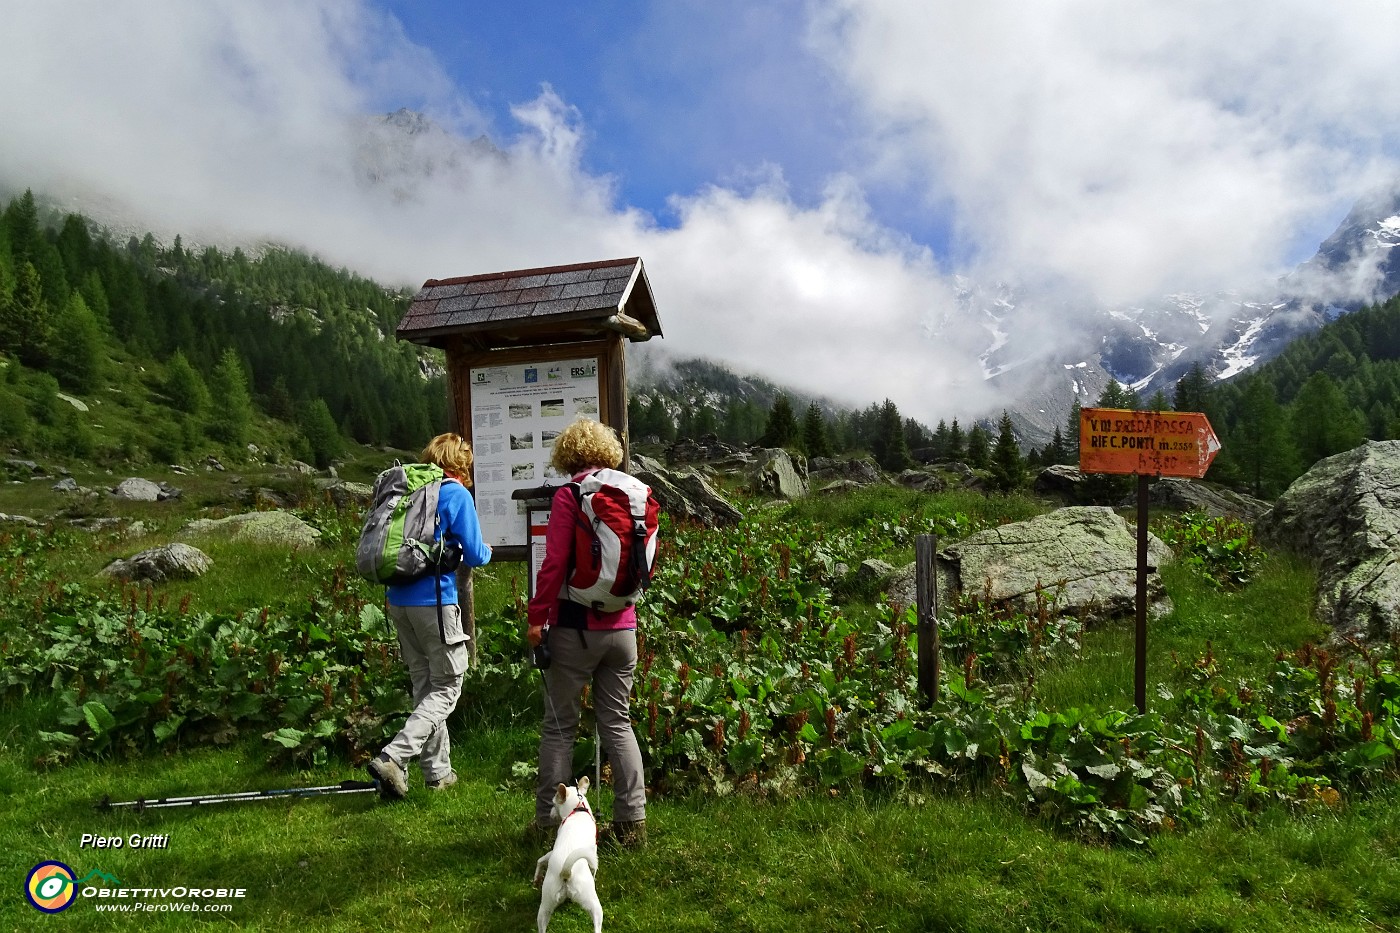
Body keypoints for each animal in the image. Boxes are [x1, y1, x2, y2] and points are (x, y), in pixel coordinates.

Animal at [534, 767, 602, 930]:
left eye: (553, 803)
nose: (550, 814)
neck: (578, 810)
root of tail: (566, 871)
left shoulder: (551, 852)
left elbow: (540, 860)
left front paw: (536, 877)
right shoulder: (593, 854)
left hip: (545, 906)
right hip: (593, 902)